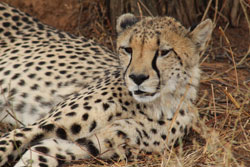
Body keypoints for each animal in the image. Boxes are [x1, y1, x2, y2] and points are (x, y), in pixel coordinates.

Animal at [0, 2, 213, 167]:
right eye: (128, 49)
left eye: (164, 52)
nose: (137, 78)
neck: (153, 106)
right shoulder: (42, 125)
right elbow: (7, 143)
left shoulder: (91, 144)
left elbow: (37, 154)